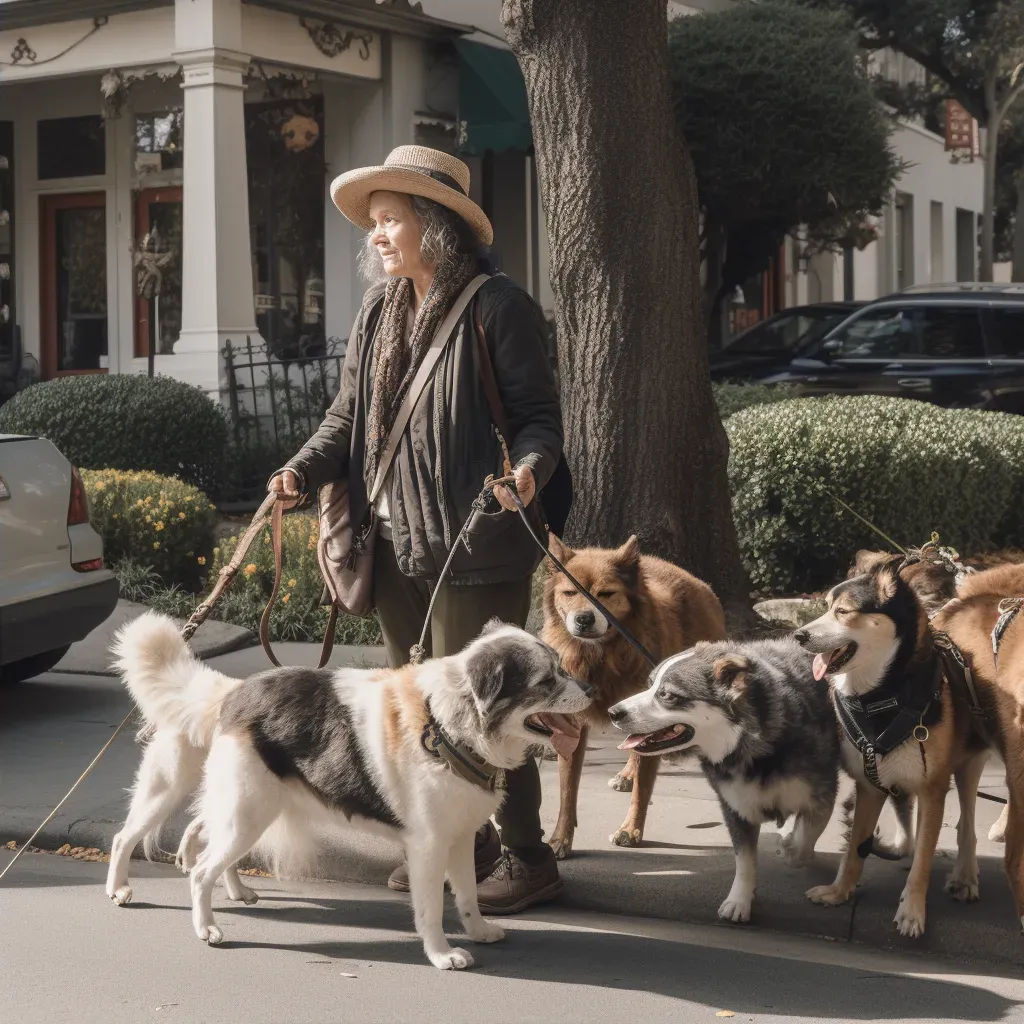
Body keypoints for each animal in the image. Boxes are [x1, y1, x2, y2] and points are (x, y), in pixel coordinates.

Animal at [540, 536, 724, 856]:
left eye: (606, 594)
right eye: (569, 592)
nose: (584, 619)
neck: (601, 656)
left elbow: (643, 788)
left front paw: (631, 829)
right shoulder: (572, 725)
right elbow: (567, 790)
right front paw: (560, 837)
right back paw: (627, 772)